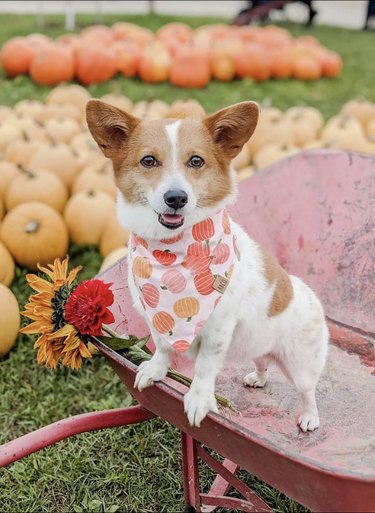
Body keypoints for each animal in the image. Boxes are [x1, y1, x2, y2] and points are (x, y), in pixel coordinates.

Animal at [86, 98, 328, 430]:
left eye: (196, 161)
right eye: (148, 160)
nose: (176, 198)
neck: (172, 255)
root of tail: (308, 293)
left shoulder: (218, 331)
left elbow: (204, 368)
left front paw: (199, 400)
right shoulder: (156, 320)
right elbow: (162, 347)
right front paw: (156, 370)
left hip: (301, 365)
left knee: (308, 392)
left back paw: (309, 417)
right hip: (259, 343)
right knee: (262, 360)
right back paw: (259, 378)